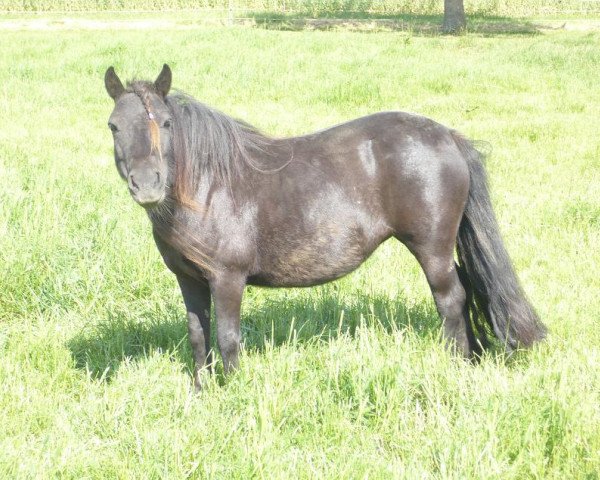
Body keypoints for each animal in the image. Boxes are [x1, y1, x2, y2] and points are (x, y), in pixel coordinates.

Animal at [105, 65, 548, 390]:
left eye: (165, 122)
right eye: (114, 125)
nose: (147, 185)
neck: (209, 187)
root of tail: (448, 136)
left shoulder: (227, 279)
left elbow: (228, 338)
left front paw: (232, 394)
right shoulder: (189, 279)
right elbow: (198, 334)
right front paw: (201, 392)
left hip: (432, 248)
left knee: (452, 299)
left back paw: (457, 364)